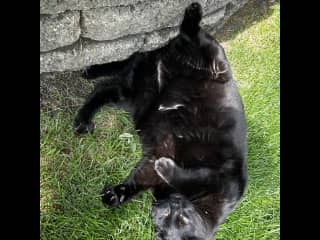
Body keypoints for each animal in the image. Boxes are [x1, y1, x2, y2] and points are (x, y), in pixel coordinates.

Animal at [73, 2, 248, 240]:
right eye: (179, 218)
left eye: (162, 230)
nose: (158, 210)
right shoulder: (223, 178)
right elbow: (189, 176)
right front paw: (166, 167)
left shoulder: (153, 160)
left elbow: (137, 181)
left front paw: (115, 196)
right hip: (211, 61)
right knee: (191, 38)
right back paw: (193, 14)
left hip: (134, 93)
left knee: (104, 87)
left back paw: (84, 108)